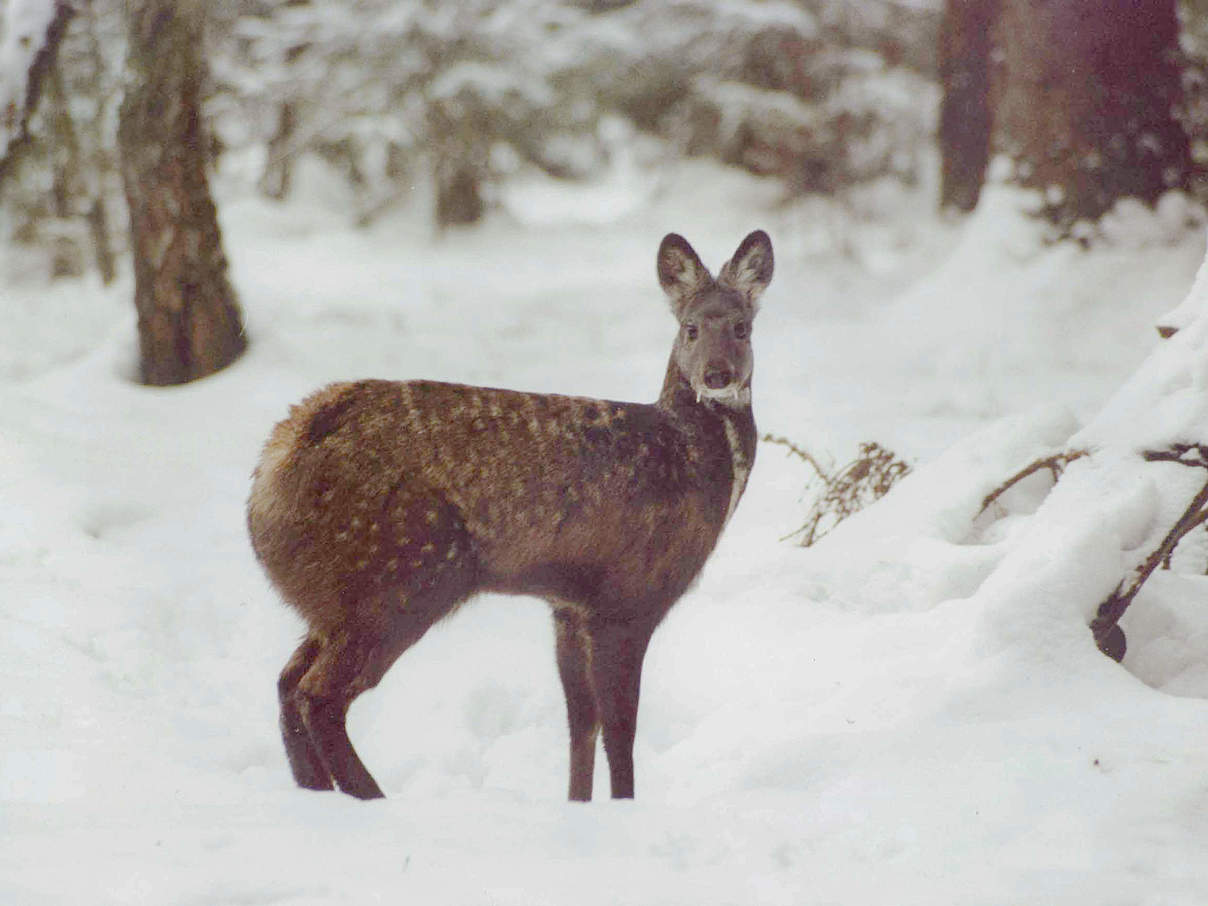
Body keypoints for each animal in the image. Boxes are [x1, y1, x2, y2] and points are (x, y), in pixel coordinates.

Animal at [246, 230, 773, 806]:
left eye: (743, 327)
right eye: (690, 328)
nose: (717, 375)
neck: (688, 459)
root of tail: (273, 465)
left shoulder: (568, 606)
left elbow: (581, 723)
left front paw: (577, 807)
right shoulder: (628, 595)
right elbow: (619, 729)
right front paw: (623, 809)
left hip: (335, 597)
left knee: (286, 685)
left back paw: (318, 797)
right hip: (401, 574)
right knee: (318, 695)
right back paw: (374, 800)